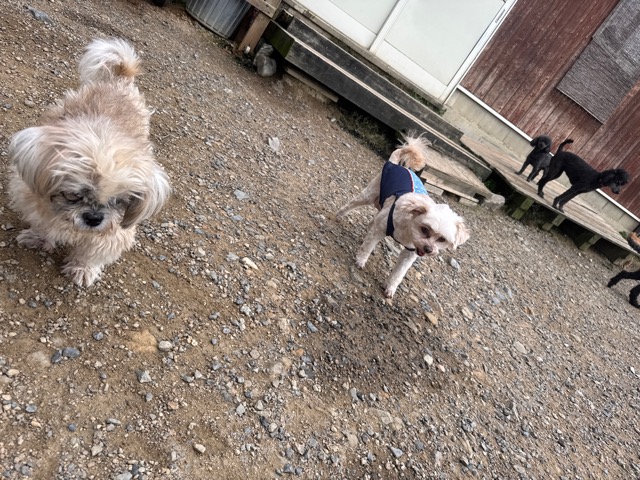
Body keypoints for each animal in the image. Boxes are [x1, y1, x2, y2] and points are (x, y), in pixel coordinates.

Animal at [8, 38, 171, 287]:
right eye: (73, 195)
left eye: (119, 201)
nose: (94, 218)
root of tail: (119, 80)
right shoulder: (35, 202)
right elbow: (43, 225)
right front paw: (37, 237)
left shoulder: (113, 233)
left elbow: (91, 252)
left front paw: (82, 268)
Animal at [336, 134, 469, 298]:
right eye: (425, 229)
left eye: (442, 239)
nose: (428, 249)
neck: (408, 232)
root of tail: (398, 165)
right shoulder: (380, 231)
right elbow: (367, 248)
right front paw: (361, 260)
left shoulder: (410, 254)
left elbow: (399, 273)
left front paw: (390, 287)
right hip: (369, 195)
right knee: (351, 205)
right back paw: (339, 215)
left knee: (373, 221)